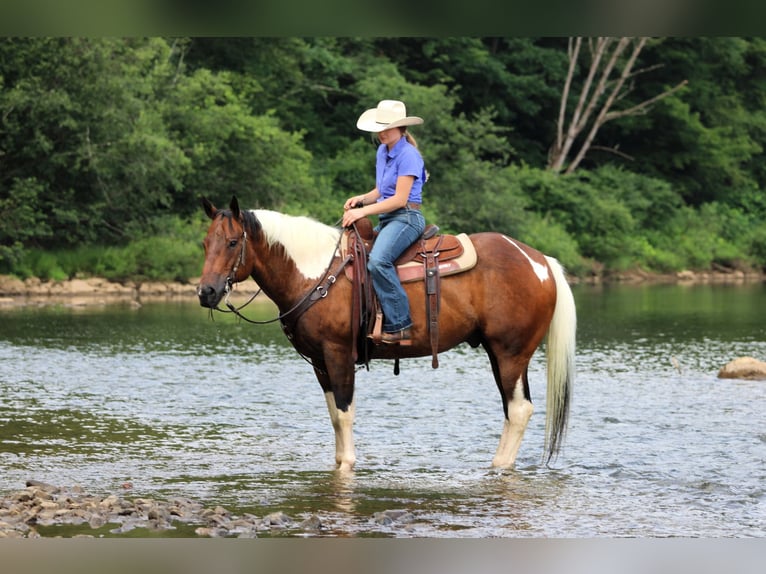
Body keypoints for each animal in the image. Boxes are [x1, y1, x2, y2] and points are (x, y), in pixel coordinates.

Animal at [197, 196, 576, 472]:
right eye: (205, 243)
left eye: (233, 242)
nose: (206, 292)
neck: (315, 273)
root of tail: (541, 261)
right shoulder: (319, 362)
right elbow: (334, 415)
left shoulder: (338, 354)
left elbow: (345, 412)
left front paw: (347, 466)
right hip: (501, 353)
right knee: (514, 409)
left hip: (510, 352)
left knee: (519, 410)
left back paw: (499, 465)